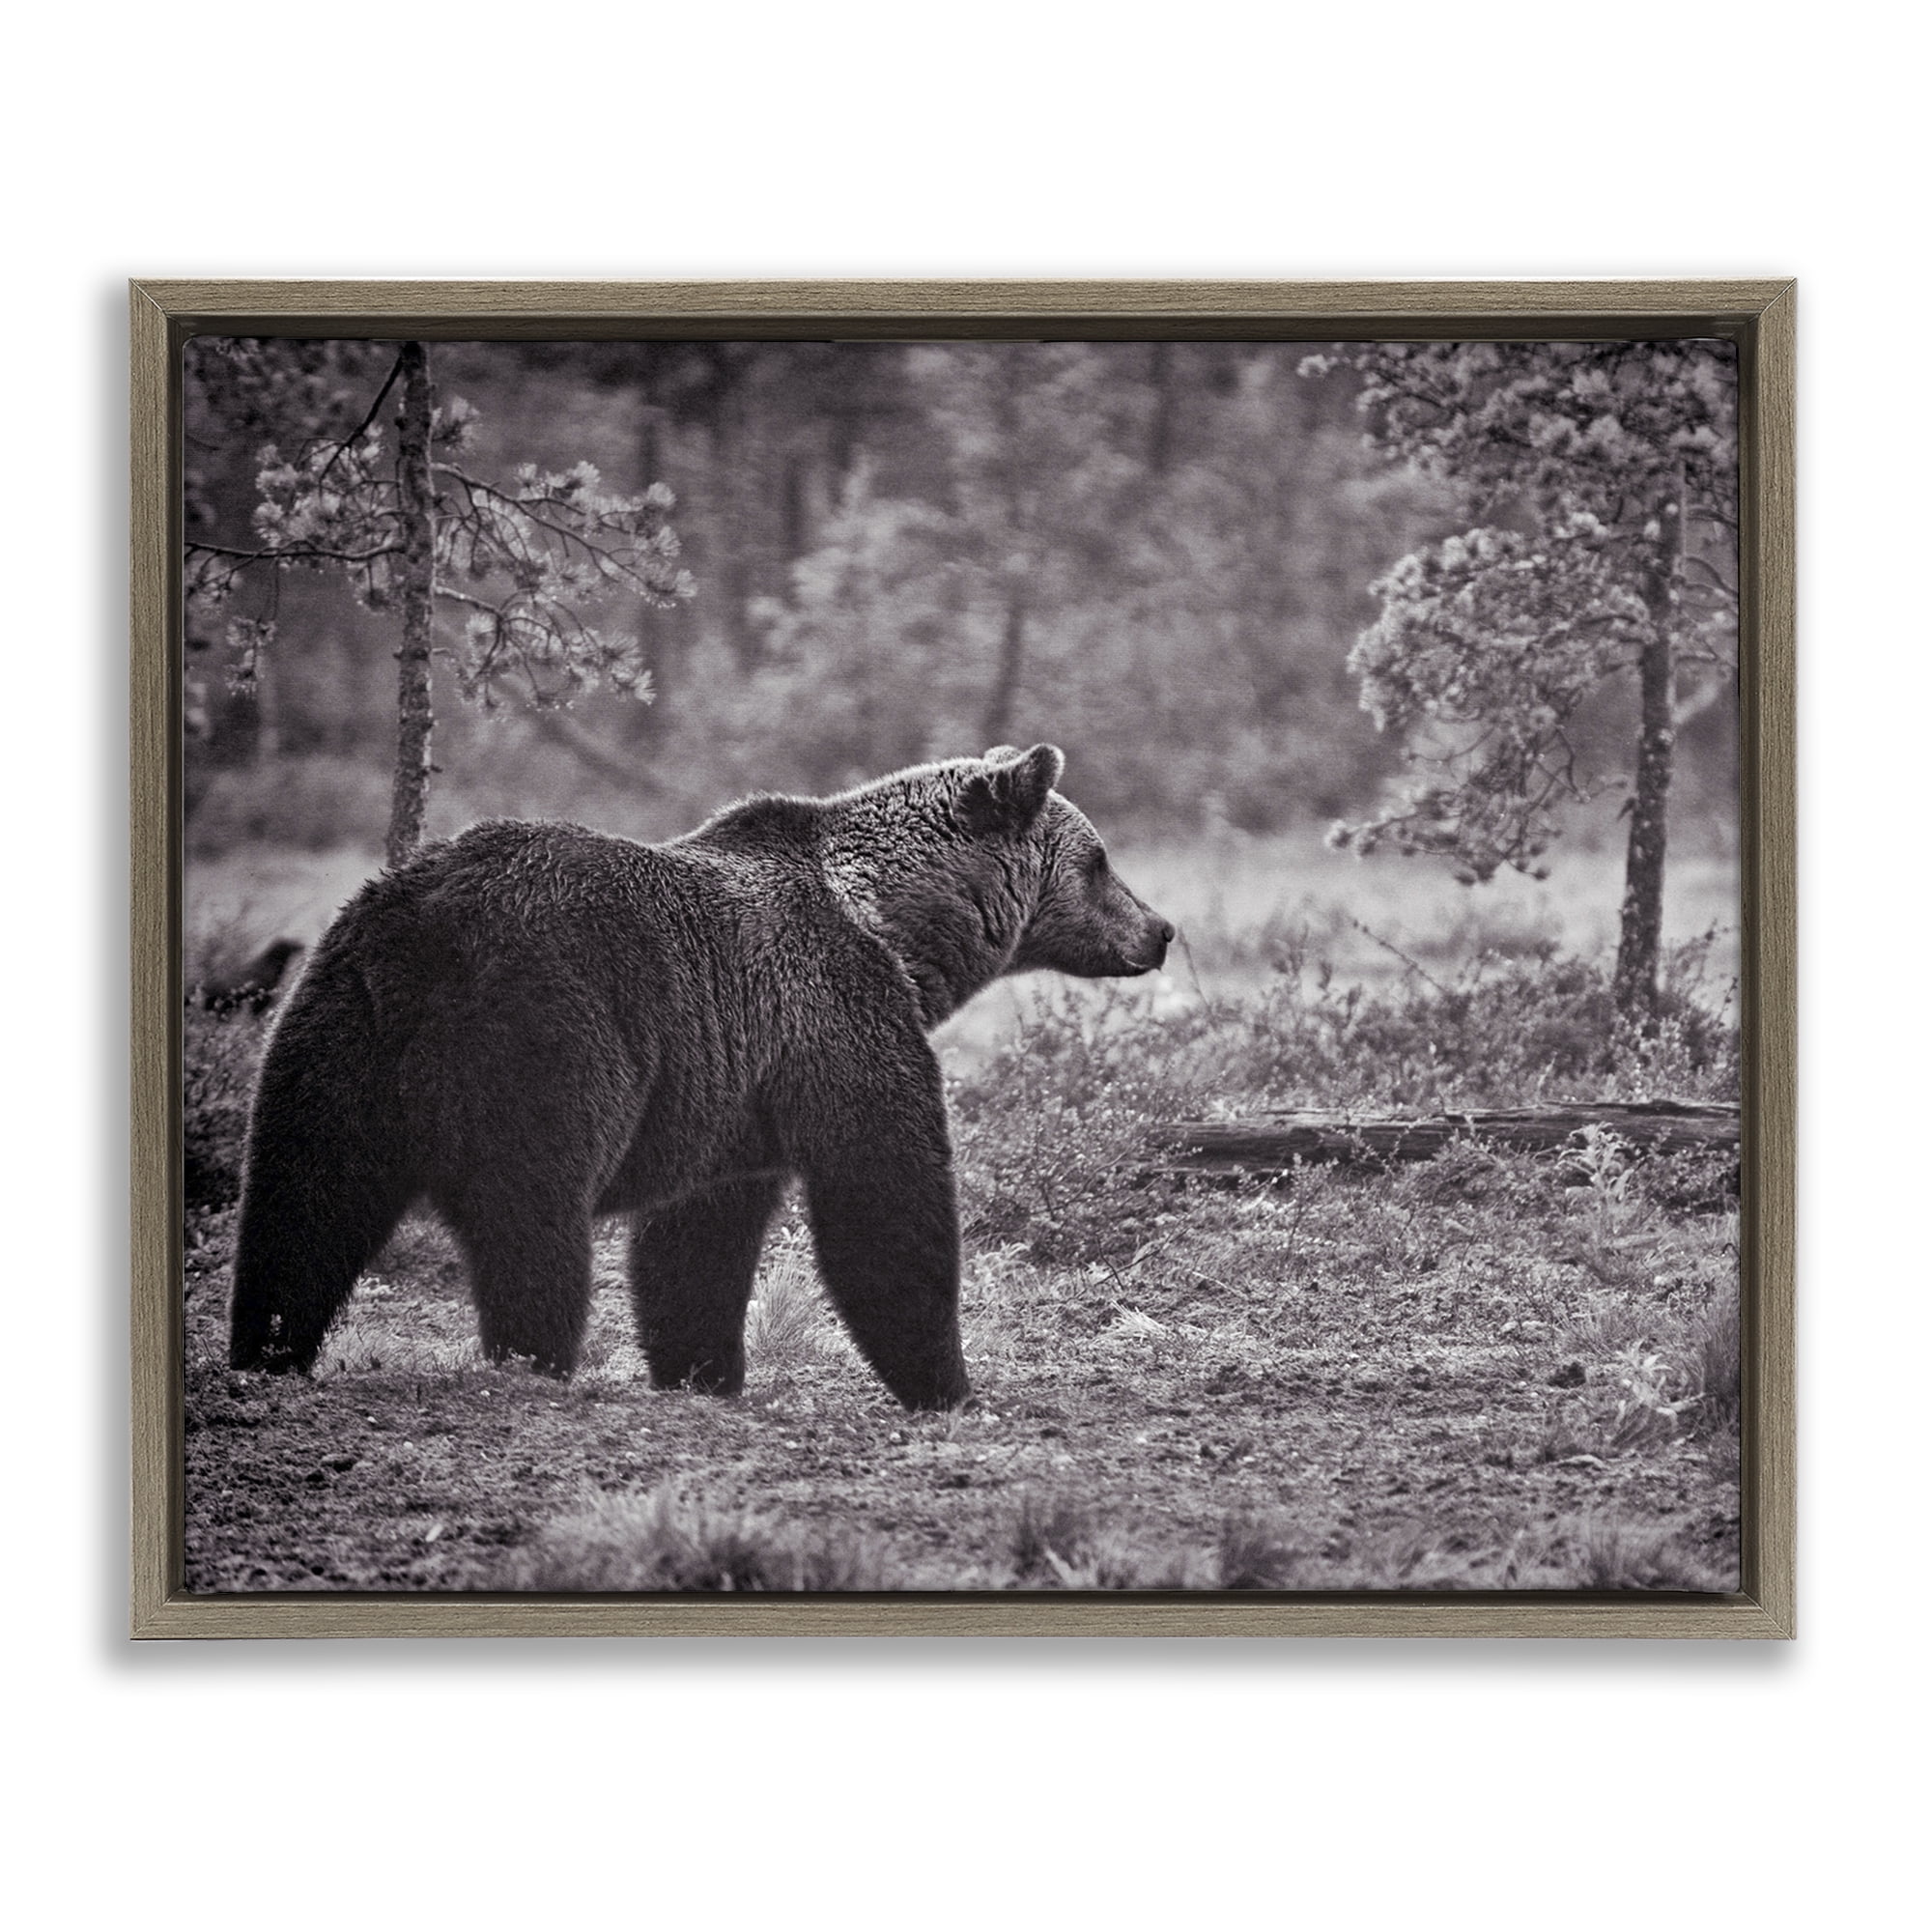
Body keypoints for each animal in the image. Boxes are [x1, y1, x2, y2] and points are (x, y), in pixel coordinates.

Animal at [228, 743, 1173, 1410]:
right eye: (1099, 860)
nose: (1161, 929)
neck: (895, 929)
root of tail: (420, 929)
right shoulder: (834, 1016)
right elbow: (884, 1194)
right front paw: (945, 1381)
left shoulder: (731, 1089)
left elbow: (697, 1240)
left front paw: (701, 1369)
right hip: (544, 1032)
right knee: (531, 1216)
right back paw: (533, 1358)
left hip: (334, 1030)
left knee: (301, 1203)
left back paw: (268, 1349)